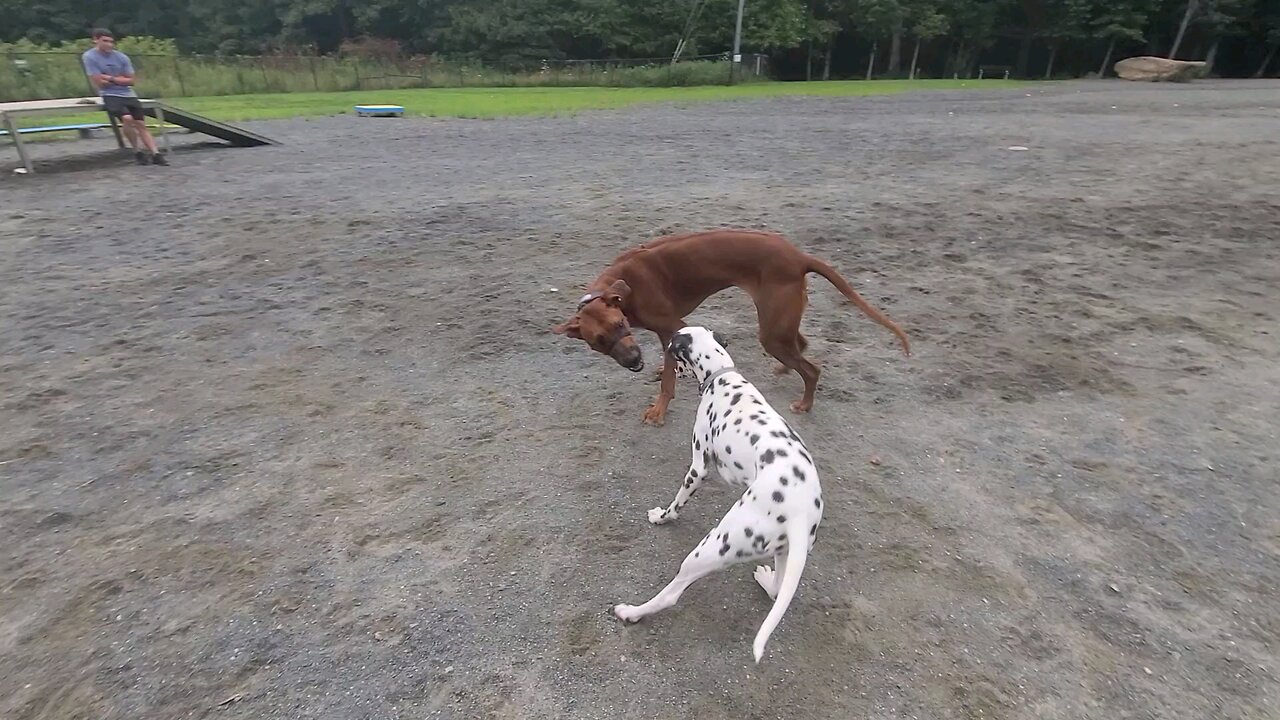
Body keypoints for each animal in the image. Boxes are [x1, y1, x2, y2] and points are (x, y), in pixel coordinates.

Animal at [552, 226, 911, 422]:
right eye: (598, 342)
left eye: (620, 326)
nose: (634, 362)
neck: (622, 289)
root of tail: (798, 256)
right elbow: (670, 365)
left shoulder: (674, 325)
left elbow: (668, 380)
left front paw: (659, 409)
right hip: (779, 322)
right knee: (801, 345)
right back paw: (785, 370)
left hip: (771, 330)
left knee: (811, 369)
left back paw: (805, 403)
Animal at [614, 325, 824, 661]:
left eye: (672, 348)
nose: (660, 369)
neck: (723, 376)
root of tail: (799, 514)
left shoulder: (698, 466)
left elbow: (677, 503)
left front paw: (661, 516)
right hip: (784, 553)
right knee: (777, 589)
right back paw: (765, 578)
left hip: (708, 550)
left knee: (672, 595)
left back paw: (631, 612)